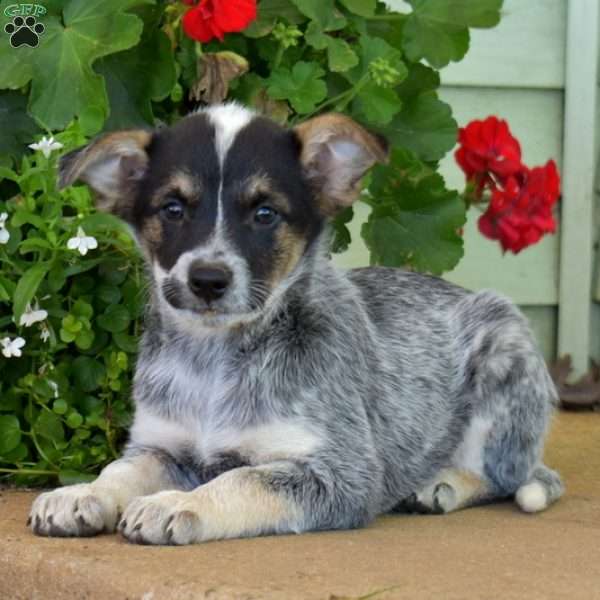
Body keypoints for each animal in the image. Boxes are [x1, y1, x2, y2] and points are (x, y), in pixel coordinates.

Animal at [28, 102, 564, 544]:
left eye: (265, 213)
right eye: (173, 208)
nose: (207, 279)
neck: (213, 361)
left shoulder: (340, 473)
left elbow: (240, 480)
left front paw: (177, 503)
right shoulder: (159, 446)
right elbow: (119, 472)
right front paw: (80, 494)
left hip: (504, 353)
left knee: (510, 475)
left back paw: (442, 483)